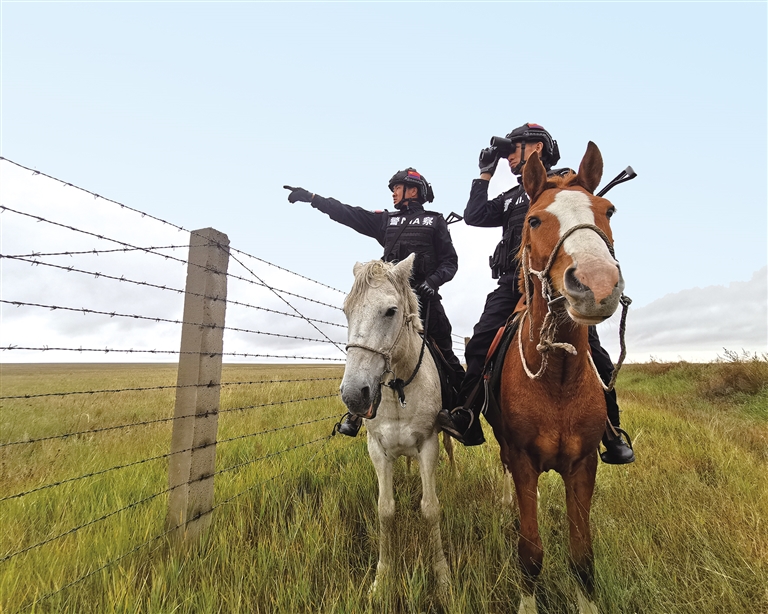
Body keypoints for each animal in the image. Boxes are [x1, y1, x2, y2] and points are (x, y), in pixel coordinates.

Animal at [339, 254, 451, 594]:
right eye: (346, 310)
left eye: (390, 311)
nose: (353, 395)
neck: (398, 389)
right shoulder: (377, 449)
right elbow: (385, 511)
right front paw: (382, 577)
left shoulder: (428, 445)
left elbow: (430, 509)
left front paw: (442, 577)